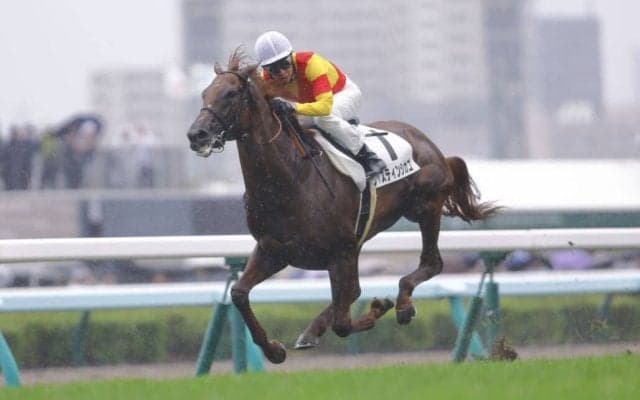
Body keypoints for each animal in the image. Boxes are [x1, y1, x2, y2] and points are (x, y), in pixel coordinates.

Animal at [186, 49, 500, 364]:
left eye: (231, 93)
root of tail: (430, 145)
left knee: (430, 263)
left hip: (425, 208)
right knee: (354, 291)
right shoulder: (273, 250)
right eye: (204, 93)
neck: (292, 178)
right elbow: (239, 293)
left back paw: (402, 305)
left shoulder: (340, 251)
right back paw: (314, 330)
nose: (196, 135)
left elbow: (342, 323)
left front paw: (379, 307)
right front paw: (273, 349)